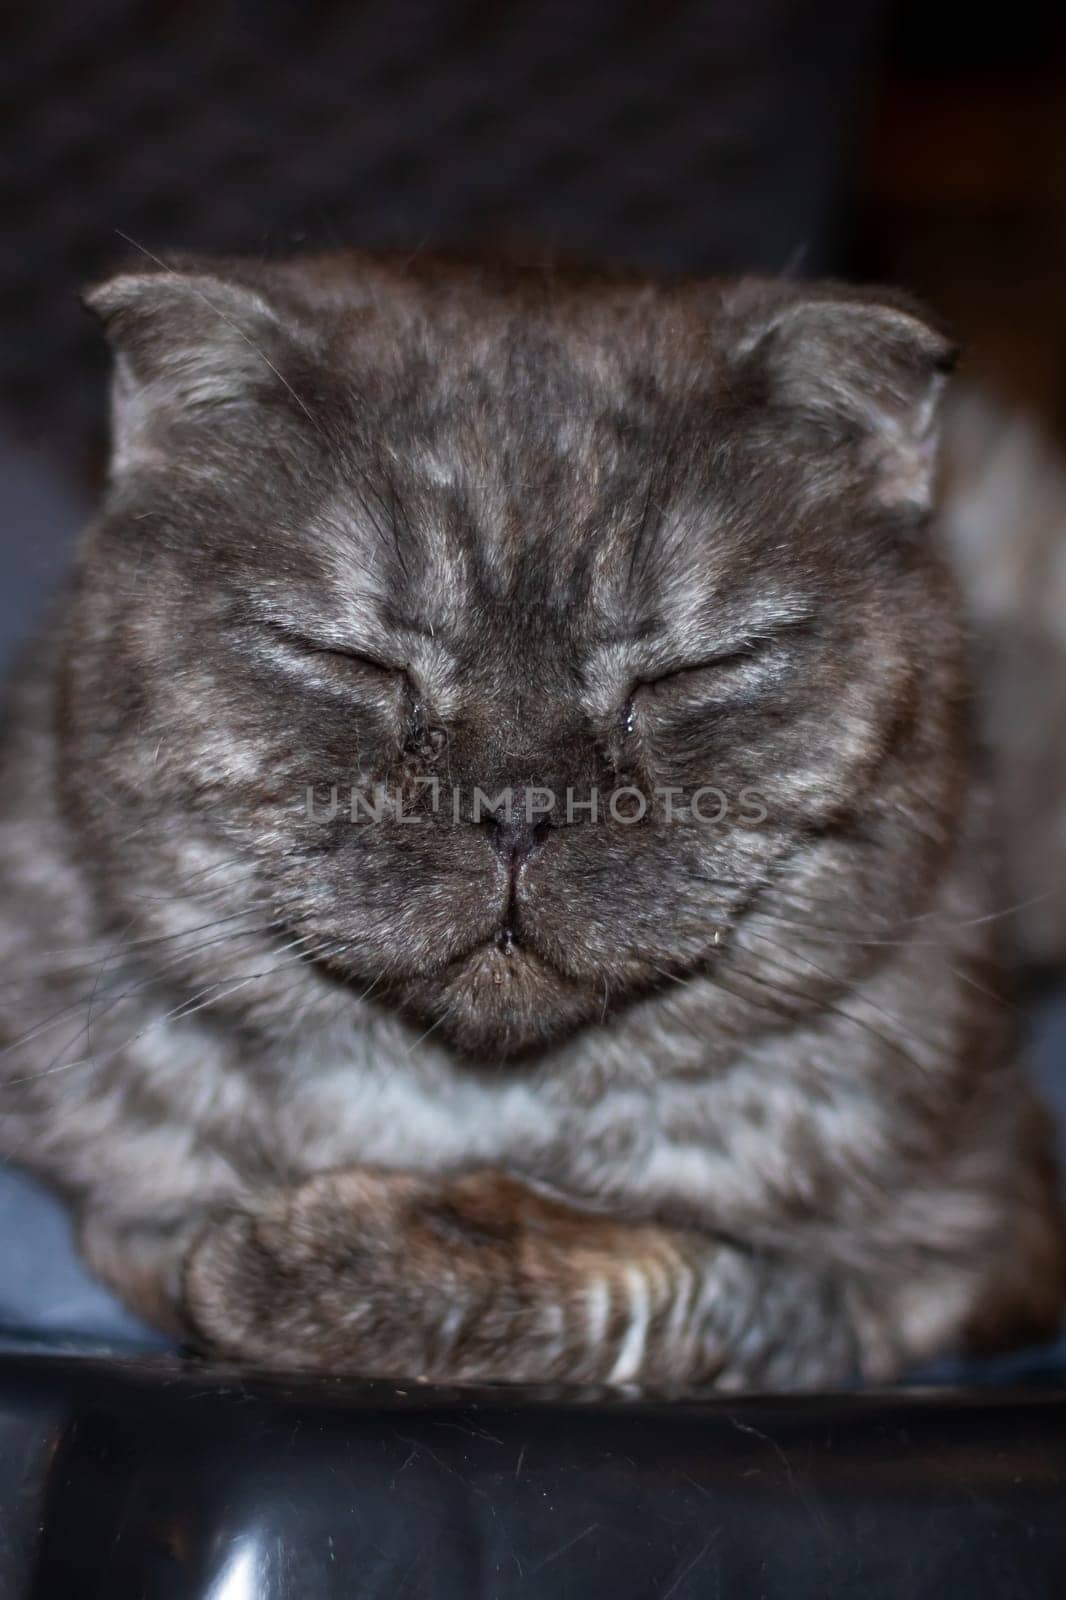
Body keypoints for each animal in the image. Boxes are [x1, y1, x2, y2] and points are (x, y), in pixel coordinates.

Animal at [0, 252, 1056, 1388]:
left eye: (696, 669)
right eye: (347, 658)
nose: (516, 807)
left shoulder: (967, 1247)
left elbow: (682, 1285)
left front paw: (322, 1263)